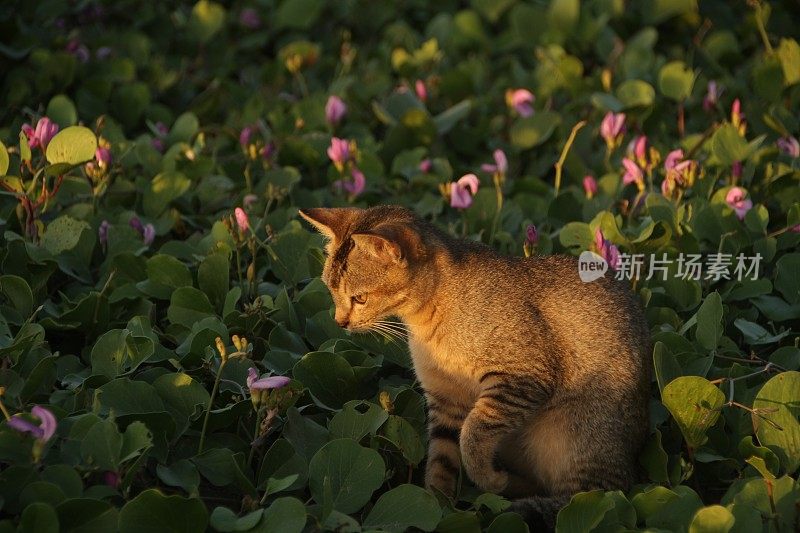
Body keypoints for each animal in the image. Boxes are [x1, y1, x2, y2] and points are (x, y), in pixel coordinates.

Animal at [298, 205, 648, 528]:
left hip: (578, 438)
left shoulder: (523, 375)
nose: (340, 322)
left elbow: (473, 433)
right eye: (330, 290)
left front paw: (488, 478)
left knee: (588, 495)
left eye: (359, 298)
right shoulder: (445, 399)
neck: (429, 320)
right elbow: (441, 459)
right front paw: (438, 508)